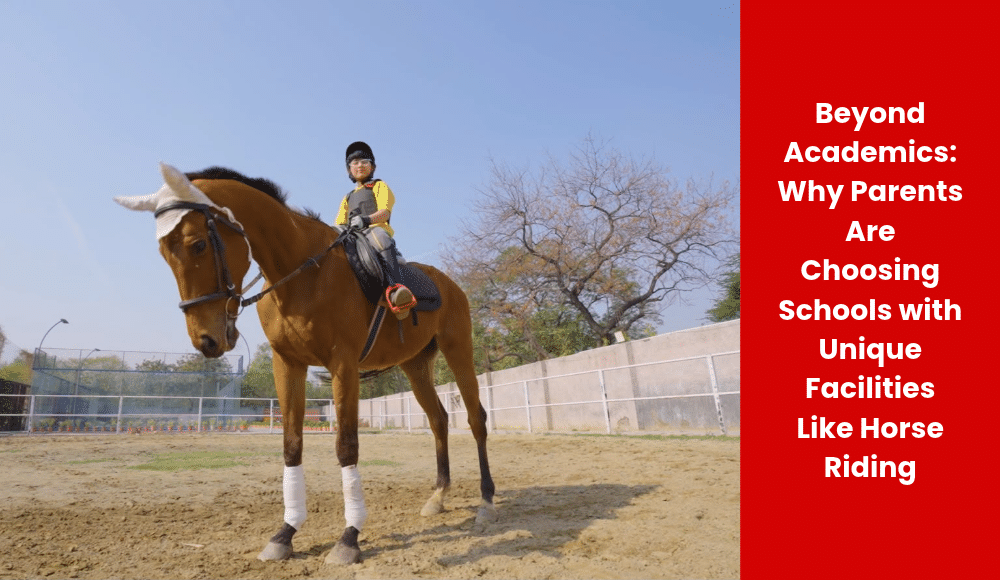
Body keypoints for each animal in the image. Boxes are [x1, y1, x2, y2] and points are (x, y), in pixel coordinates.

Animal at [114, 163, 496, 565]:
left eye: (198, 244)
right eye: (163, 253)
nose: (206, 340)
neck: (302, 273)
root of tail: (447, 283)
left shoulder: (342, 364)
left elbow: (346, 446)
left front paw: (349, 537)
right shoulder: (288, 365)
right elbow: (291, 445)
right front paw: (286, 532)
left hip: (459, 350)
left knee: (475, 419)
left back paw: (486, 502)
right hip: (416, 366)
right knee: (439, 421)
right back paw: (439, 496)